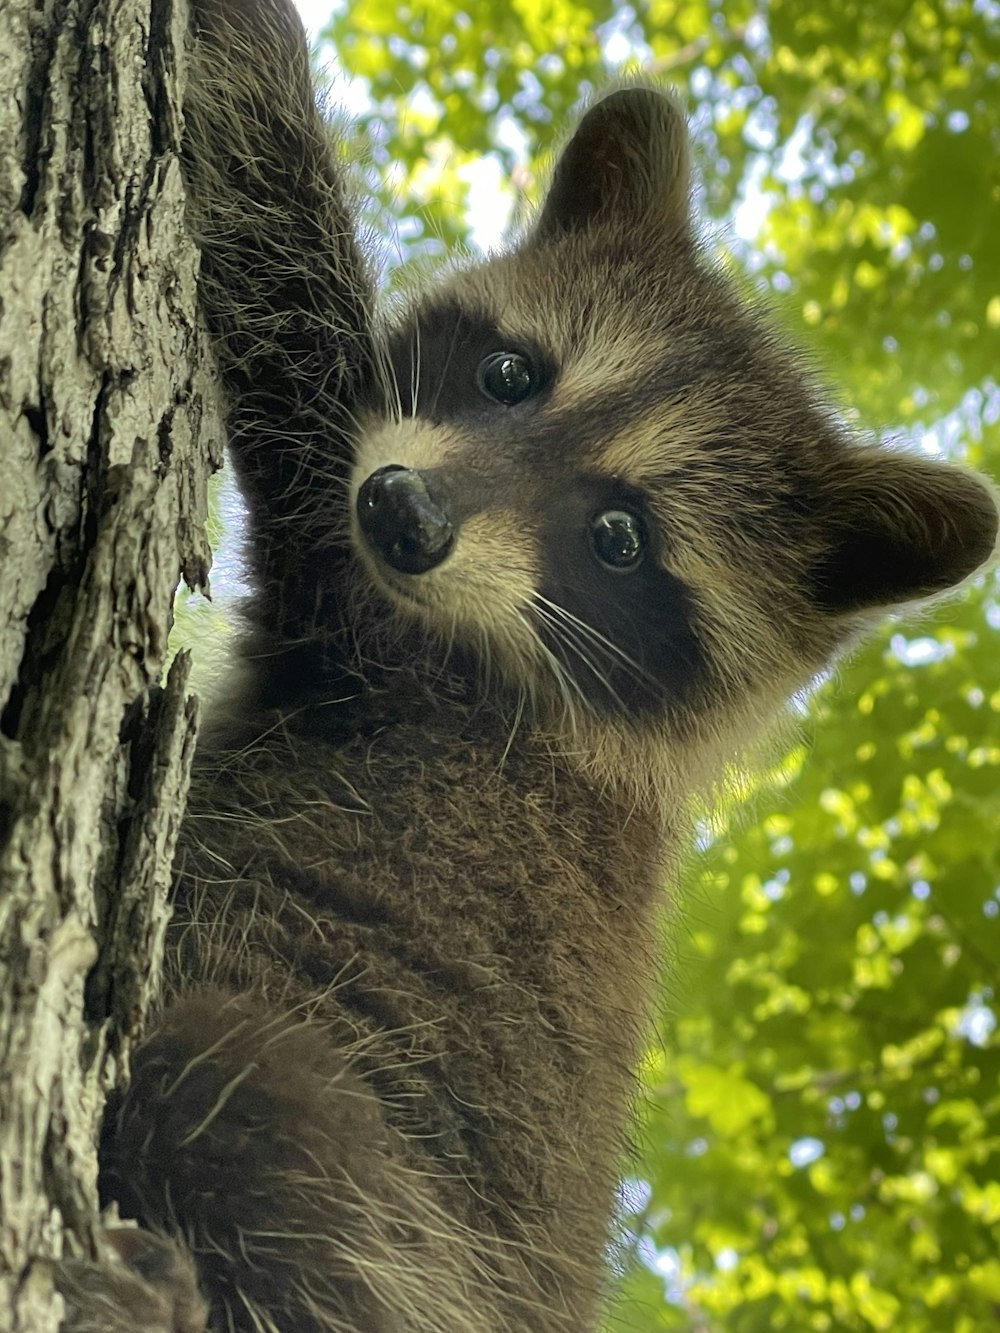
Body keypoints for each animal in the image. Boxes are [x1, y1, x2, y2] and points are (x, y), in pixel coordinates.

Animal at [56, 2, 1000, 1333]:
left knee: (232, 1097)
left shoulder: (388, 628)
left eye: (619, 538)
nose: (404, 513)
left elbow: (282, 261)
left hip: (373, 1175)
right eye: (510, 374)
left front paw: (240, 36)